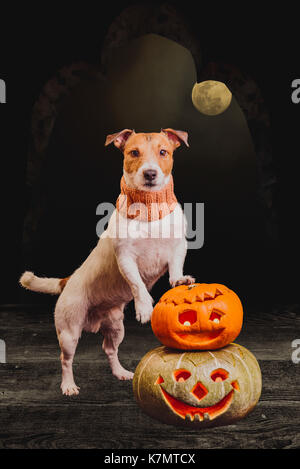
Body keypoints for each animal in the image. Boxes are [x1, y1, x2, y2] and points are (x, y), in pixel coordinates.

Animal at [19, 128, 196, 394]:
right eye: (134, 153)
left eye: (163, 152)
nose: (150, 173)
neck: (149, 209)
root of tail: (68, 281)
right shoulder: (126, 258)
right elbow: (138, 285)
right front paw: (144, 307)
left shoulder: (178, 247)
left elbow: (175, 267)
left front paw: (179, 280)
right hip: (69, 331)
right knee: (66, 359)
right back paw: (68, 385)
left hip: (115, 327)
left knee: (109, 350)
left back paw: (120, 372)